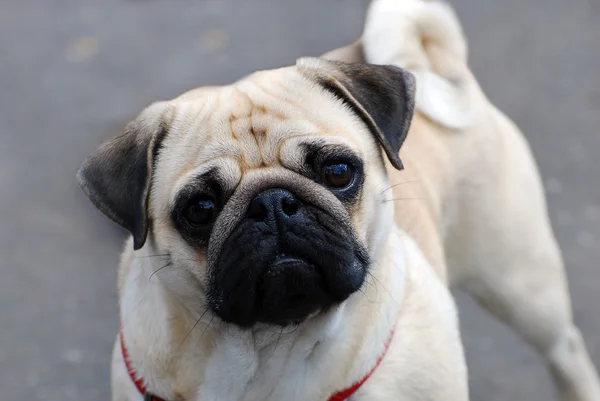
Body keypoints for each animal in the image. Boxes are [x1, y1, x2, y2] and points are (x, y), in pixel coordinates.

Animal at [78, 0, 600, 400]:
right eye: (201, 210)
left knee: (564, 349)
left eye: (338, 172)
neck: (272, 347)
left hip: (520, 283)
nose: (273, 204)